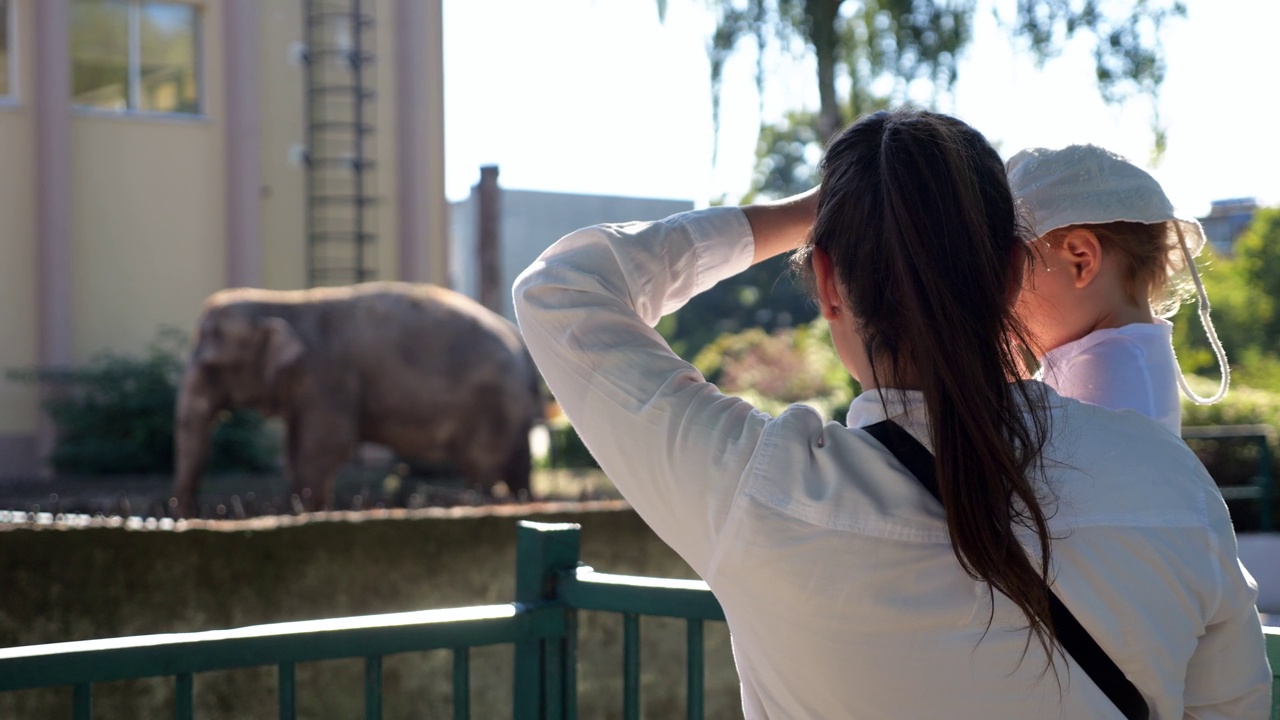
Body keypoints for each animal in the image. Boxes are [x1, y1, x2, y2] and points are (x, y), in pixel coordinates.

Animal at [172, 280, 542, 515]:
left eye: (210, 367)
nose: (189, 512)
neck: (282, 301)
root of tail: (518, 341)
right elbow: (296, 445)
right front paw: (298, 507)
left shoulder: (328, 373)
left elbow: (327, 443)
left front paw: (307, 508)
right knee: (517, 464)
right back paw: (520, 501)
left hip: (491, 402)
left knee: (481, 464)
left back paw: (477, 502)